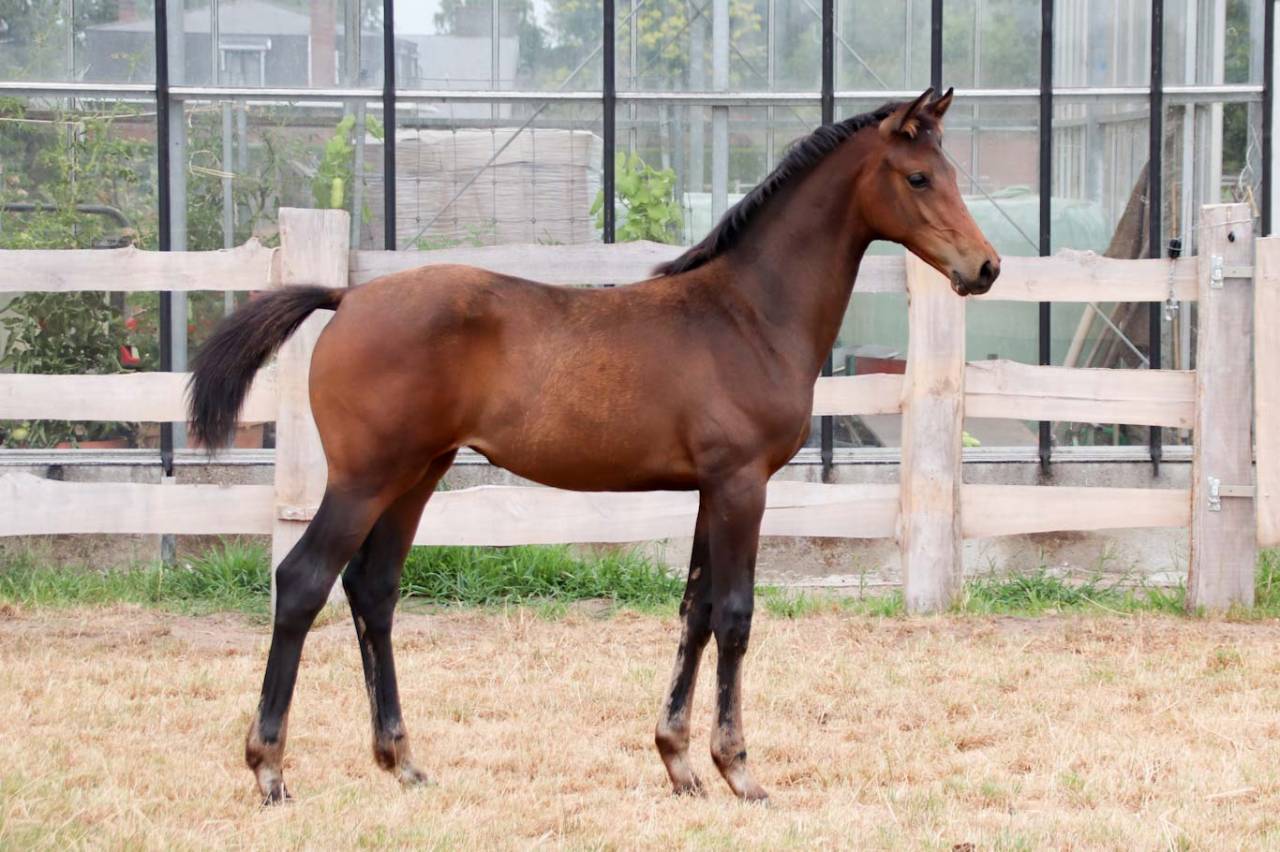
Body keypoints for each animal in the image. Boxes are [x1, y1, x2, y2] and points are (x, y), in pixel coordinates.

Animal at [189, 87, 999, 805]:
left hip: (417, 474)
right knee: (302, 582)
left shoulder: (710, 489)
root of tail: (348, 296)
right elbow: (735, 617)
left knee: (373, 589)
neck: (747, 315)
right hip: (364, 478)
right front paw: (738, 770)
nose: (985, 267)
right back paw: (269, 770)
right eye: (919, 176)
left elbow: (695, 611)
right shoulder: (743, 485)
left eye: (955, 173)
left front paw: (679, 764)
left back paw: (403, 762)